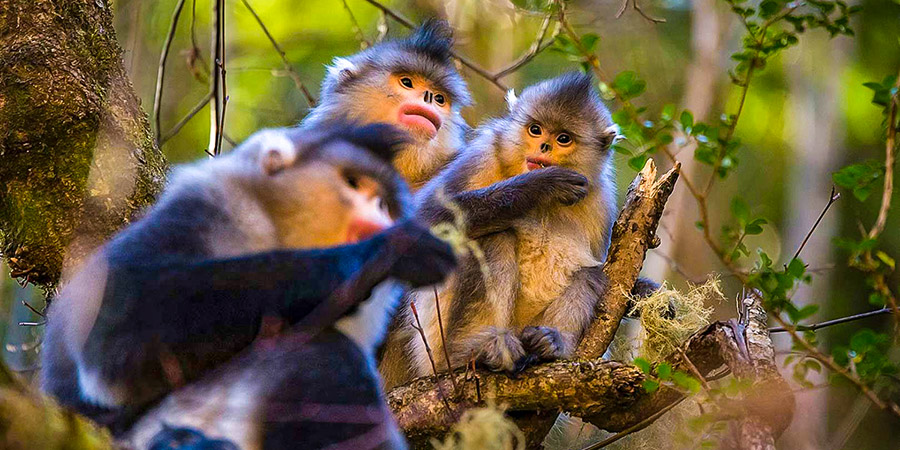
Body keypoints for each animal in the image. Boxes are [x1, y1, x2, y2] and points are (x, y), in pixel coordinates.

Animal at [38, 123, 454, 450]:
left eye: (385, 205)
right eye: (353, 184)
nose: (378, 218)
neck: (270, 231)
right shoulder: (199, 214)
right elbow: (117, 330)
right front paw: (387, 251)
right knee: (320, 354)